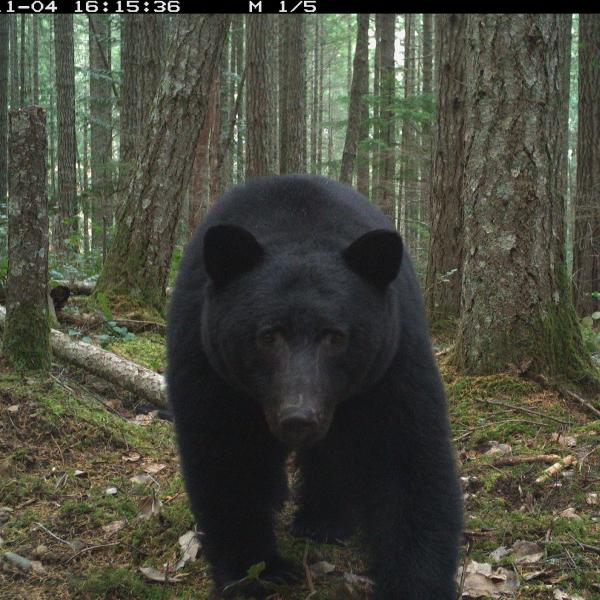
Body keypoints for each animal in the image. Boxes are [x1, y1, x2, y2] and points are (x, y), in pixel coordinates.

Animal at [168, 175, 464, 600]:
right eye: (268, 335)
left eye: (335, 336)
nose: (299, 417)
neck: (299, 231)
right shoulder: (209, 363)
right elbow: (225, 456)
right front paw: (257, 570)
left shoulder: (391, 360)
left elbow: (405, 456)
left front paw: (414, 581)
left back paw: (323, 520)